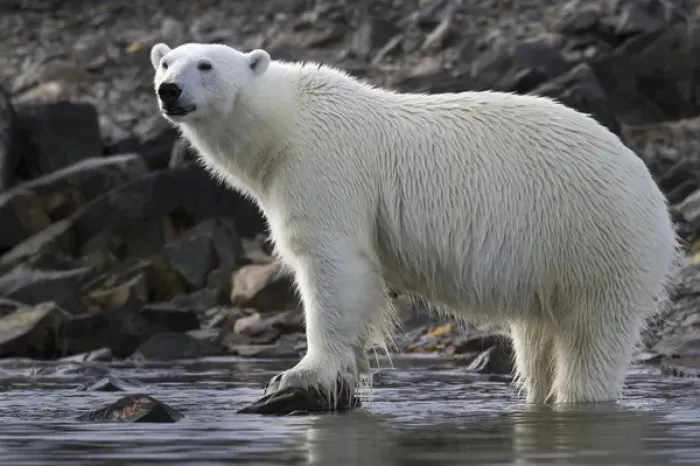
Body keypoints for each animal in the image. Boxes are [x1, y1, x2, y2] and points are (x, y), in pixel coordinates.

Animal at [149, 41, 681, 408]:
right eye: (166, 62)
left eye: (205, 65)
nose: (169, 90)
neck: (285, 122)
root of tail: (656, 198)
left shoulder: (322, 166)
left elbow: (333, 264)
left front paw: (298, 375)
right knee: (538, 340)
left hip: (593, 235)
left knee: (591, 336)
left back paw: (580, 395)